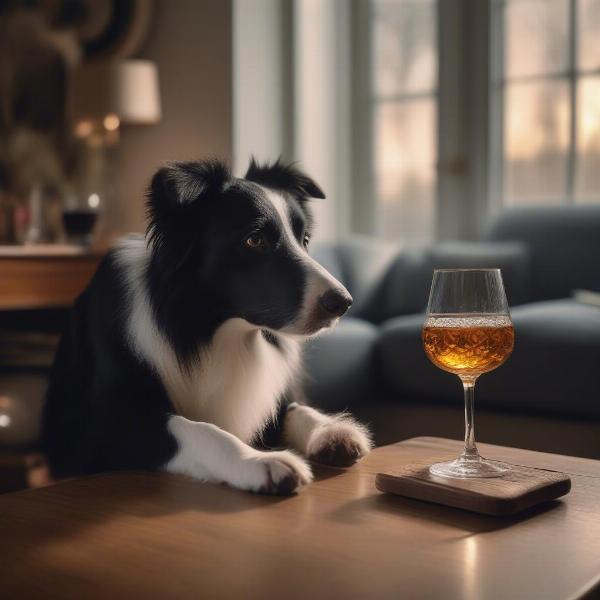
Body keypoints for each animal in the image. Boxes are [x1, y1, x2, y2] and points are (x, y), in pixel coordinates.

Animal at [41, 157, 370, 494]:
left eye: (304, 241)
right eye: (255, 239)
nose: (343, 302)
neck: (210, 331)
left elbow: (296, 408)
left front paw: (332, 430)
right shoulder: (101, 429)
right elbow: (198, 429)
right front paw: (259, 461)